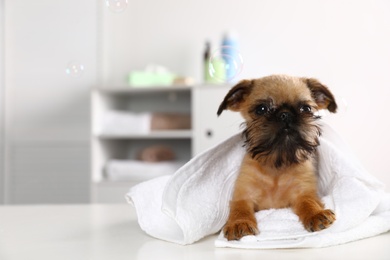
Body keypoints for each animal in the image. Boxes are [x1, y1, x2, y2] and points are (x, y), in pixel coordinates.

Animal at [126, 124, 390, 248]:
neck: (276, 166)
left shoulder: (303, 192)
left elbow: (307, 202)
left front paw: (316, 214)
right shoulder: (242, 195)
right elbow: (240, 209)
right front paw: (239, 224)